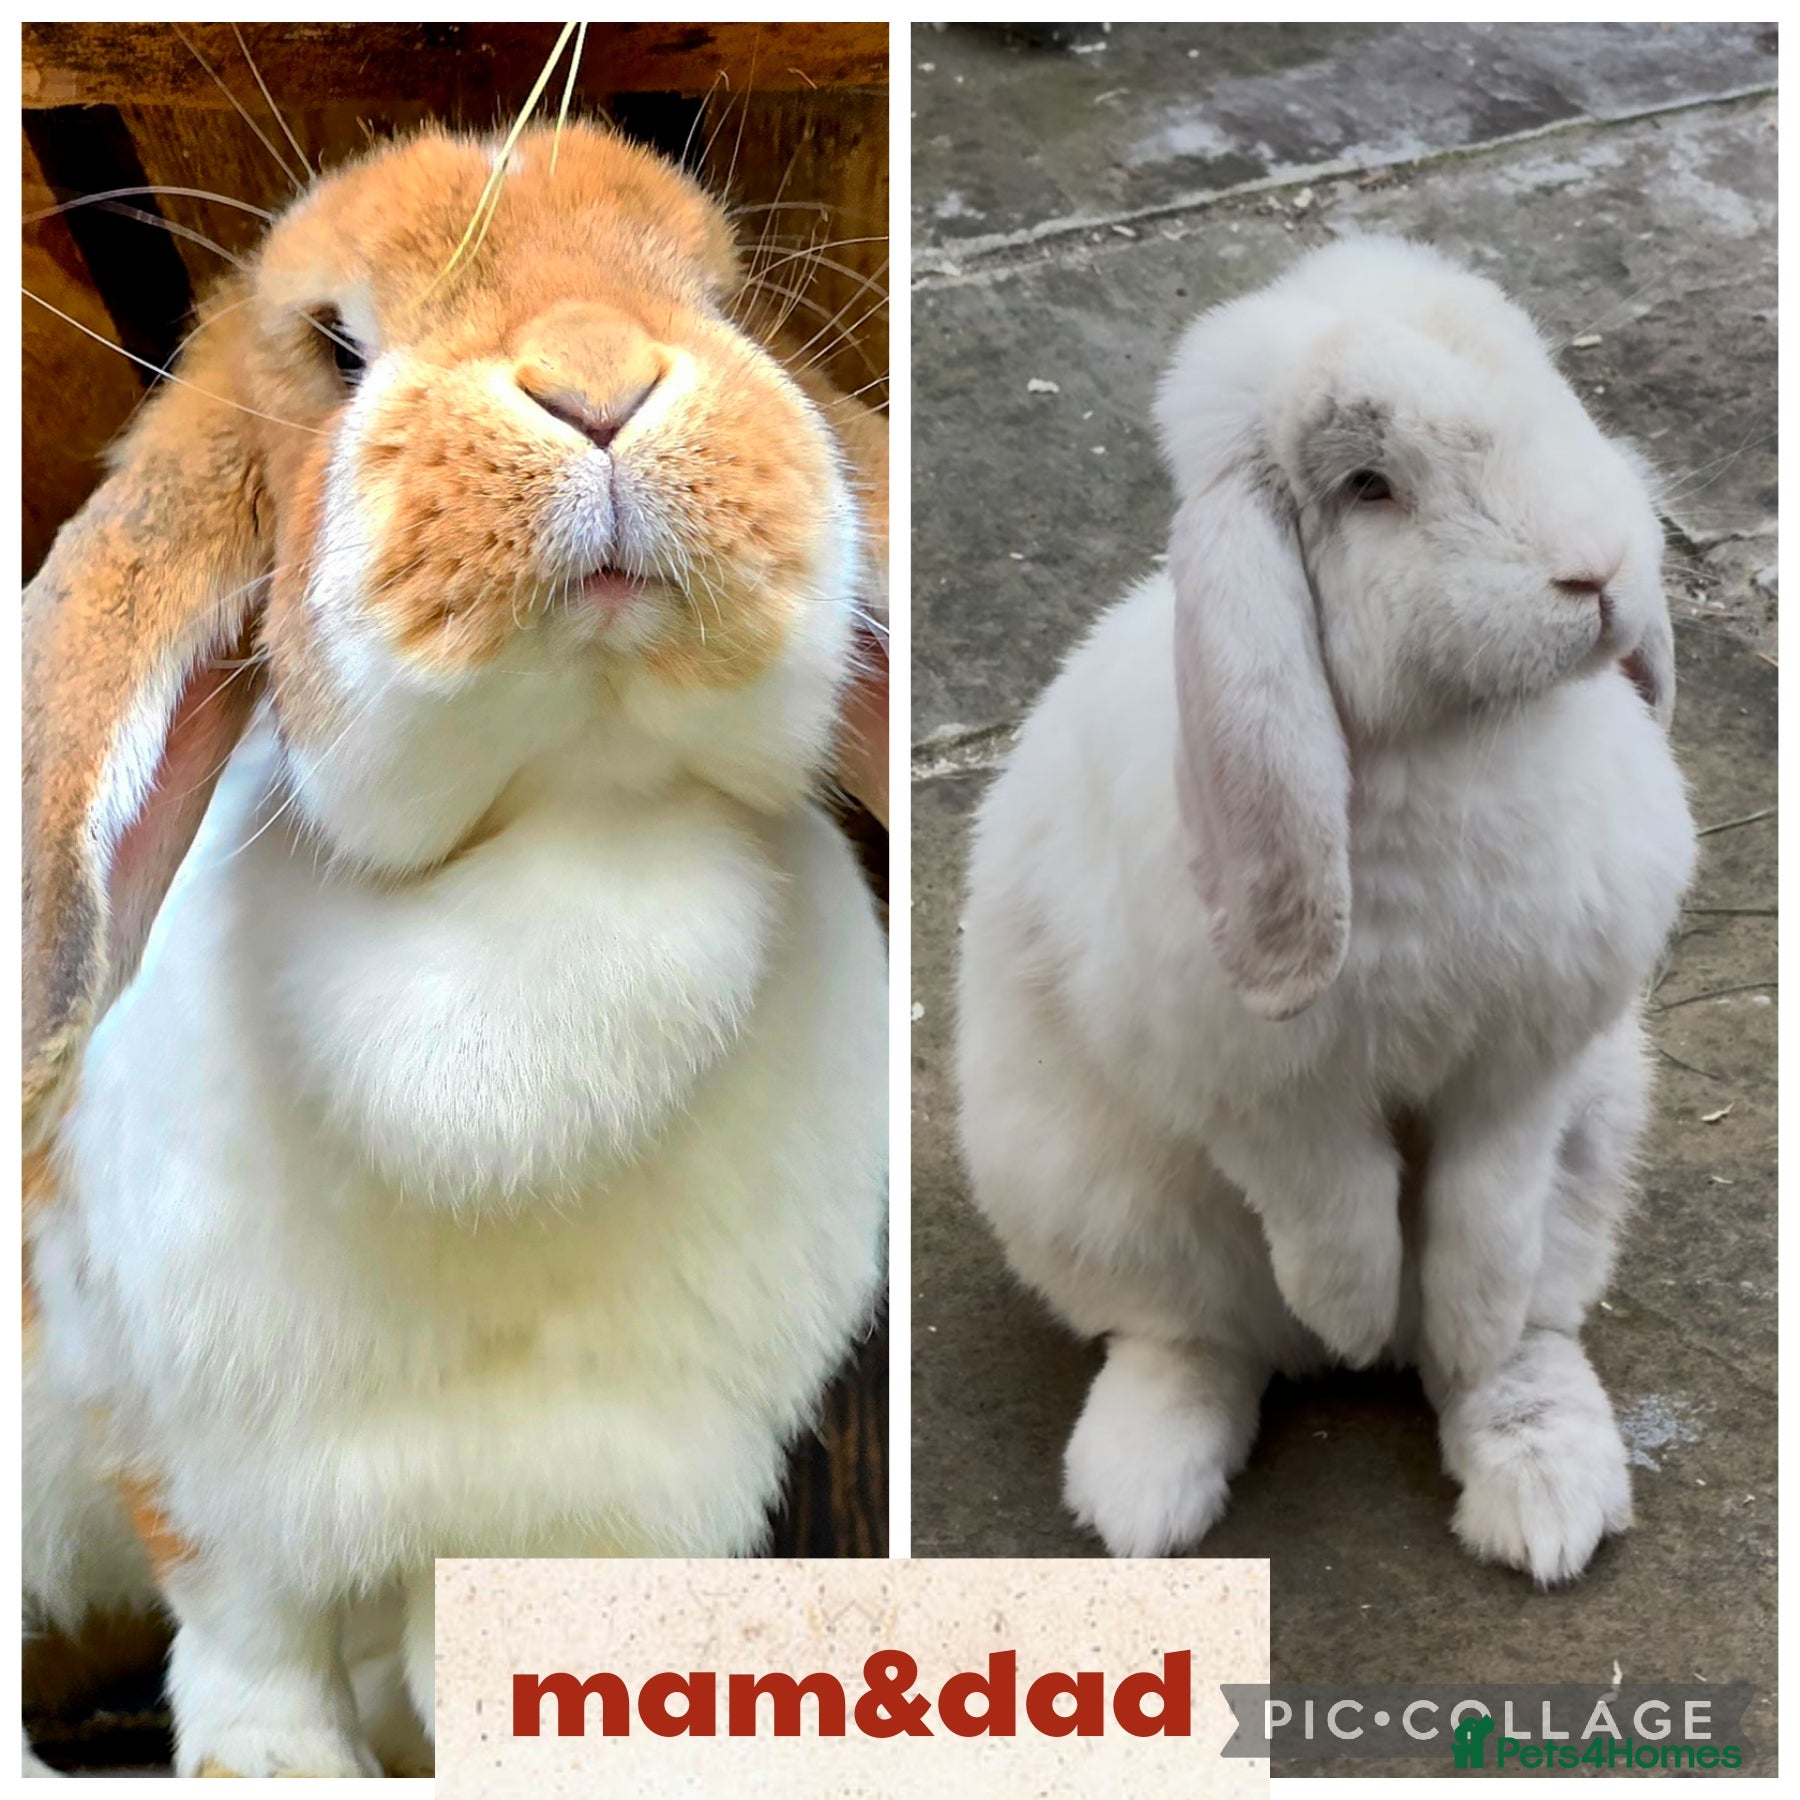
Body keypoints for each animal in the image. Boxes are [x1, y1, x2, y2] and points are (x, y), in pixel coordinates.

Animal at [22, 120, 887, 1777]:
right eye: (335, 346)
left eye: (722, 294)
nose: (600, 379)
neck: (574, 826)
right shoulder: (197, 1464)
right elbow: (246, 1645)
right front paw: (272, 1769)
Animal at [956, 236, 1695, 1582]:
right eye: (1368, 486)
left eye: (1544, 395)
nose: (1601, 577)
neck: (1457, 744)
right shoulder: (1267, 1096)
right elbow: (1337, 1209)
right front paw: (1353, 1311)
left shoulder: (1527, 1069)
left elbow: (1483, 1224)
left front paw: (1451, 1322)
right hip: (1099, 1204)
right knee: (1192, 1341)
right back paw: (1148, 1492)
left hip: (1599, 1148)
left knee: (1525, 1327)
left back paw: (1539, 1489)